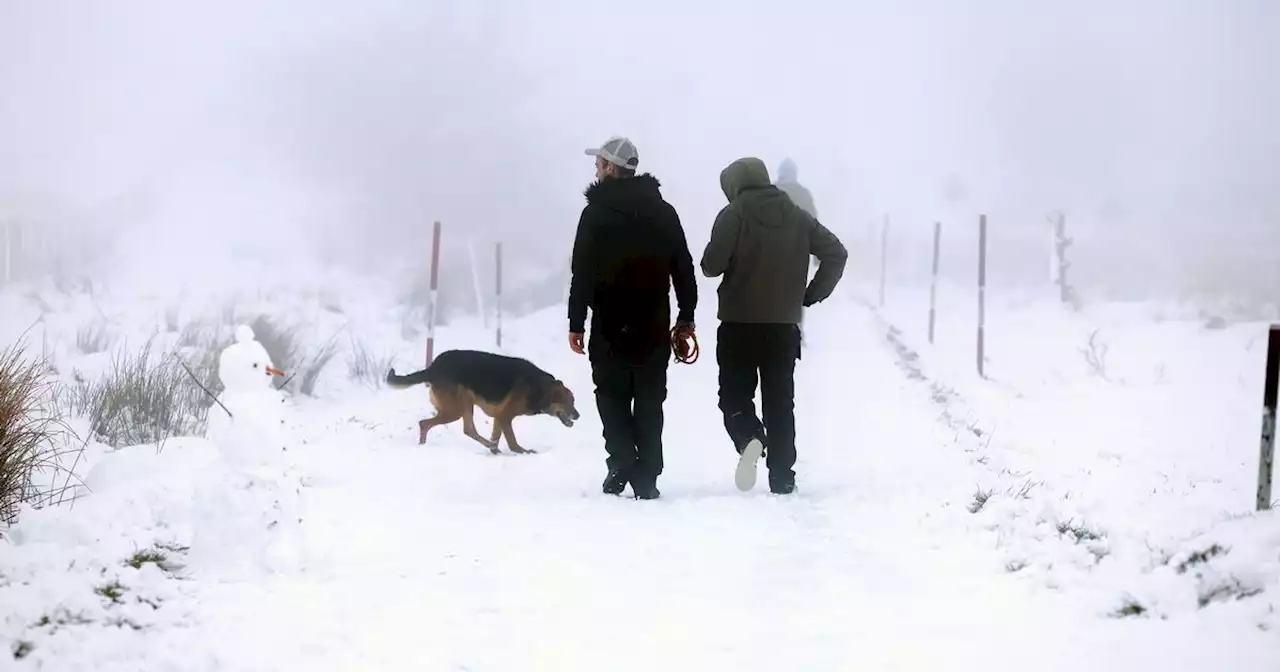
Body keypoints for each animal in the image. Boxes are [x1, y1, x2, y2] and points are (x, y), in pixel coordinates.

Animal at [378, 348, 581, 453]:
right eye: (568, 402)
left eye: (573, 401)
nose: (578, 415)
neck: (541, 387)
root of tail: (433, 367)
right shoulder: (505, 417)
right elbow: (513, 442)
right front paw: (522, 452)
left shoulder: (500, 417)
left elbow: (497, 435)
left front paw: (495, 450)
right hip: (456, 409)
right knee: (424, 423)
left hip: (465, 405)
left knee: (468, 430)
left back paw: (491, 448)